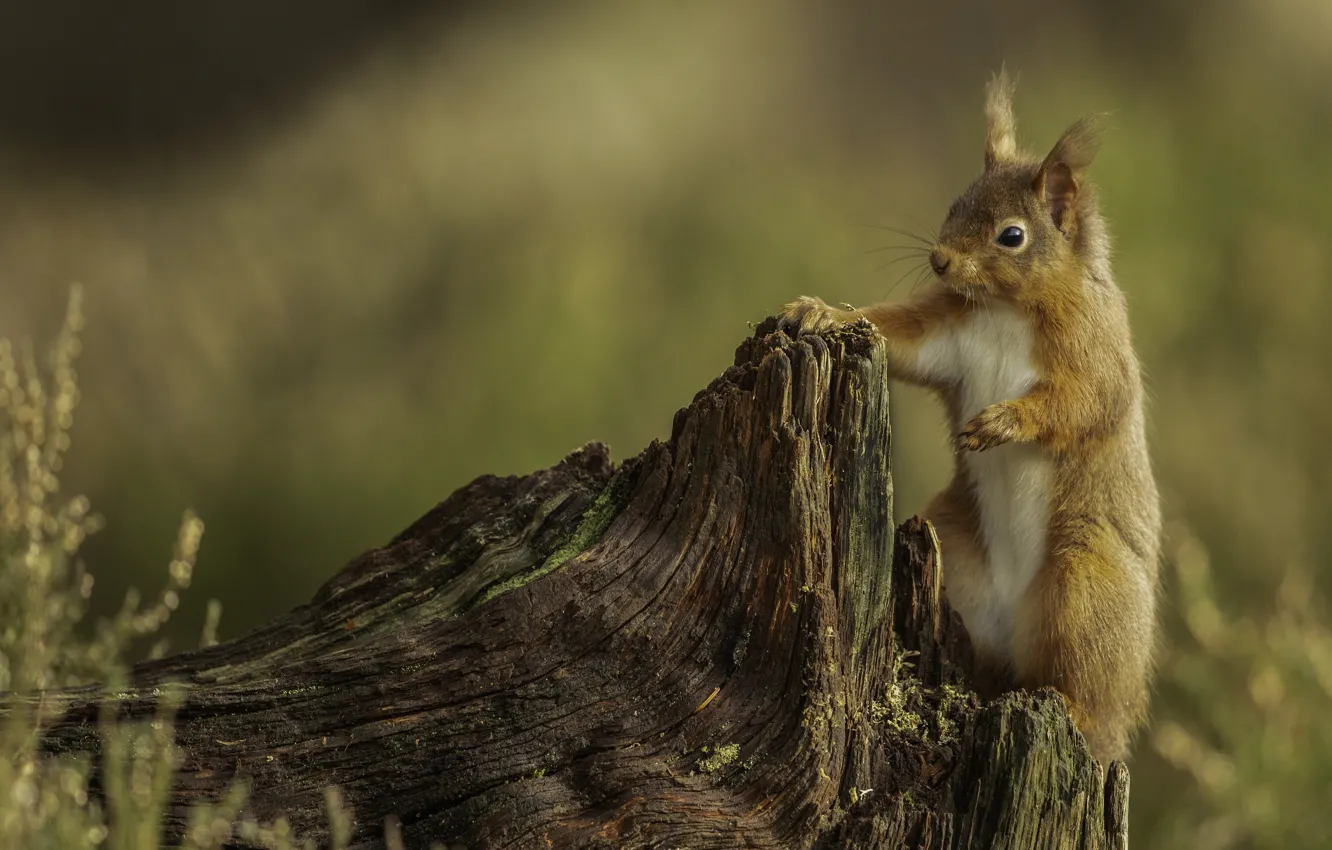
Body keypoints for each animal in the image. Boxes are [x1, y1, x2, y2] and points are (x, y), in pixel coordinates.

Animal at [777, 71, 1161, 767]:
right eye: (956, 203)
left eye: (1012, 235)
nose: (939, 261)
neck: (1007, 307)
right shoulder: (946, 336)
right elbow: (896, 335)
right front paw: (824, 312)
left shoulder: (1096, 354)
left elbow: (1081, 404)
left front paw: (1003, 422)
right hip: (954, 554)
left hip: (1088, 589)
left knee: (1084, 690)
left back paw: (1075, 711)